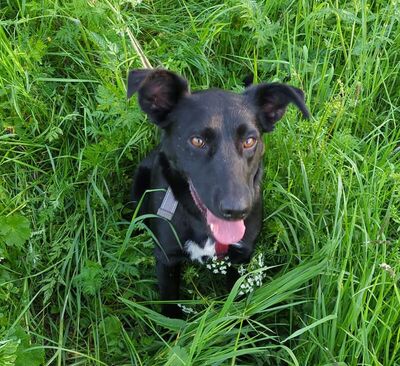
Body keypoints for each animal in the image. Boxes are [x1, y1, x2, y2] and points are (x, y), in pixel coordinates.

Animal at [127, 69, 310, 318]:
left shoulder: (241, 259)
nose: (237, 210)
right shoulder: (167, 260)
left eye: (250, 140)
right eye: (197, 141)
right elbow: (169, 306)